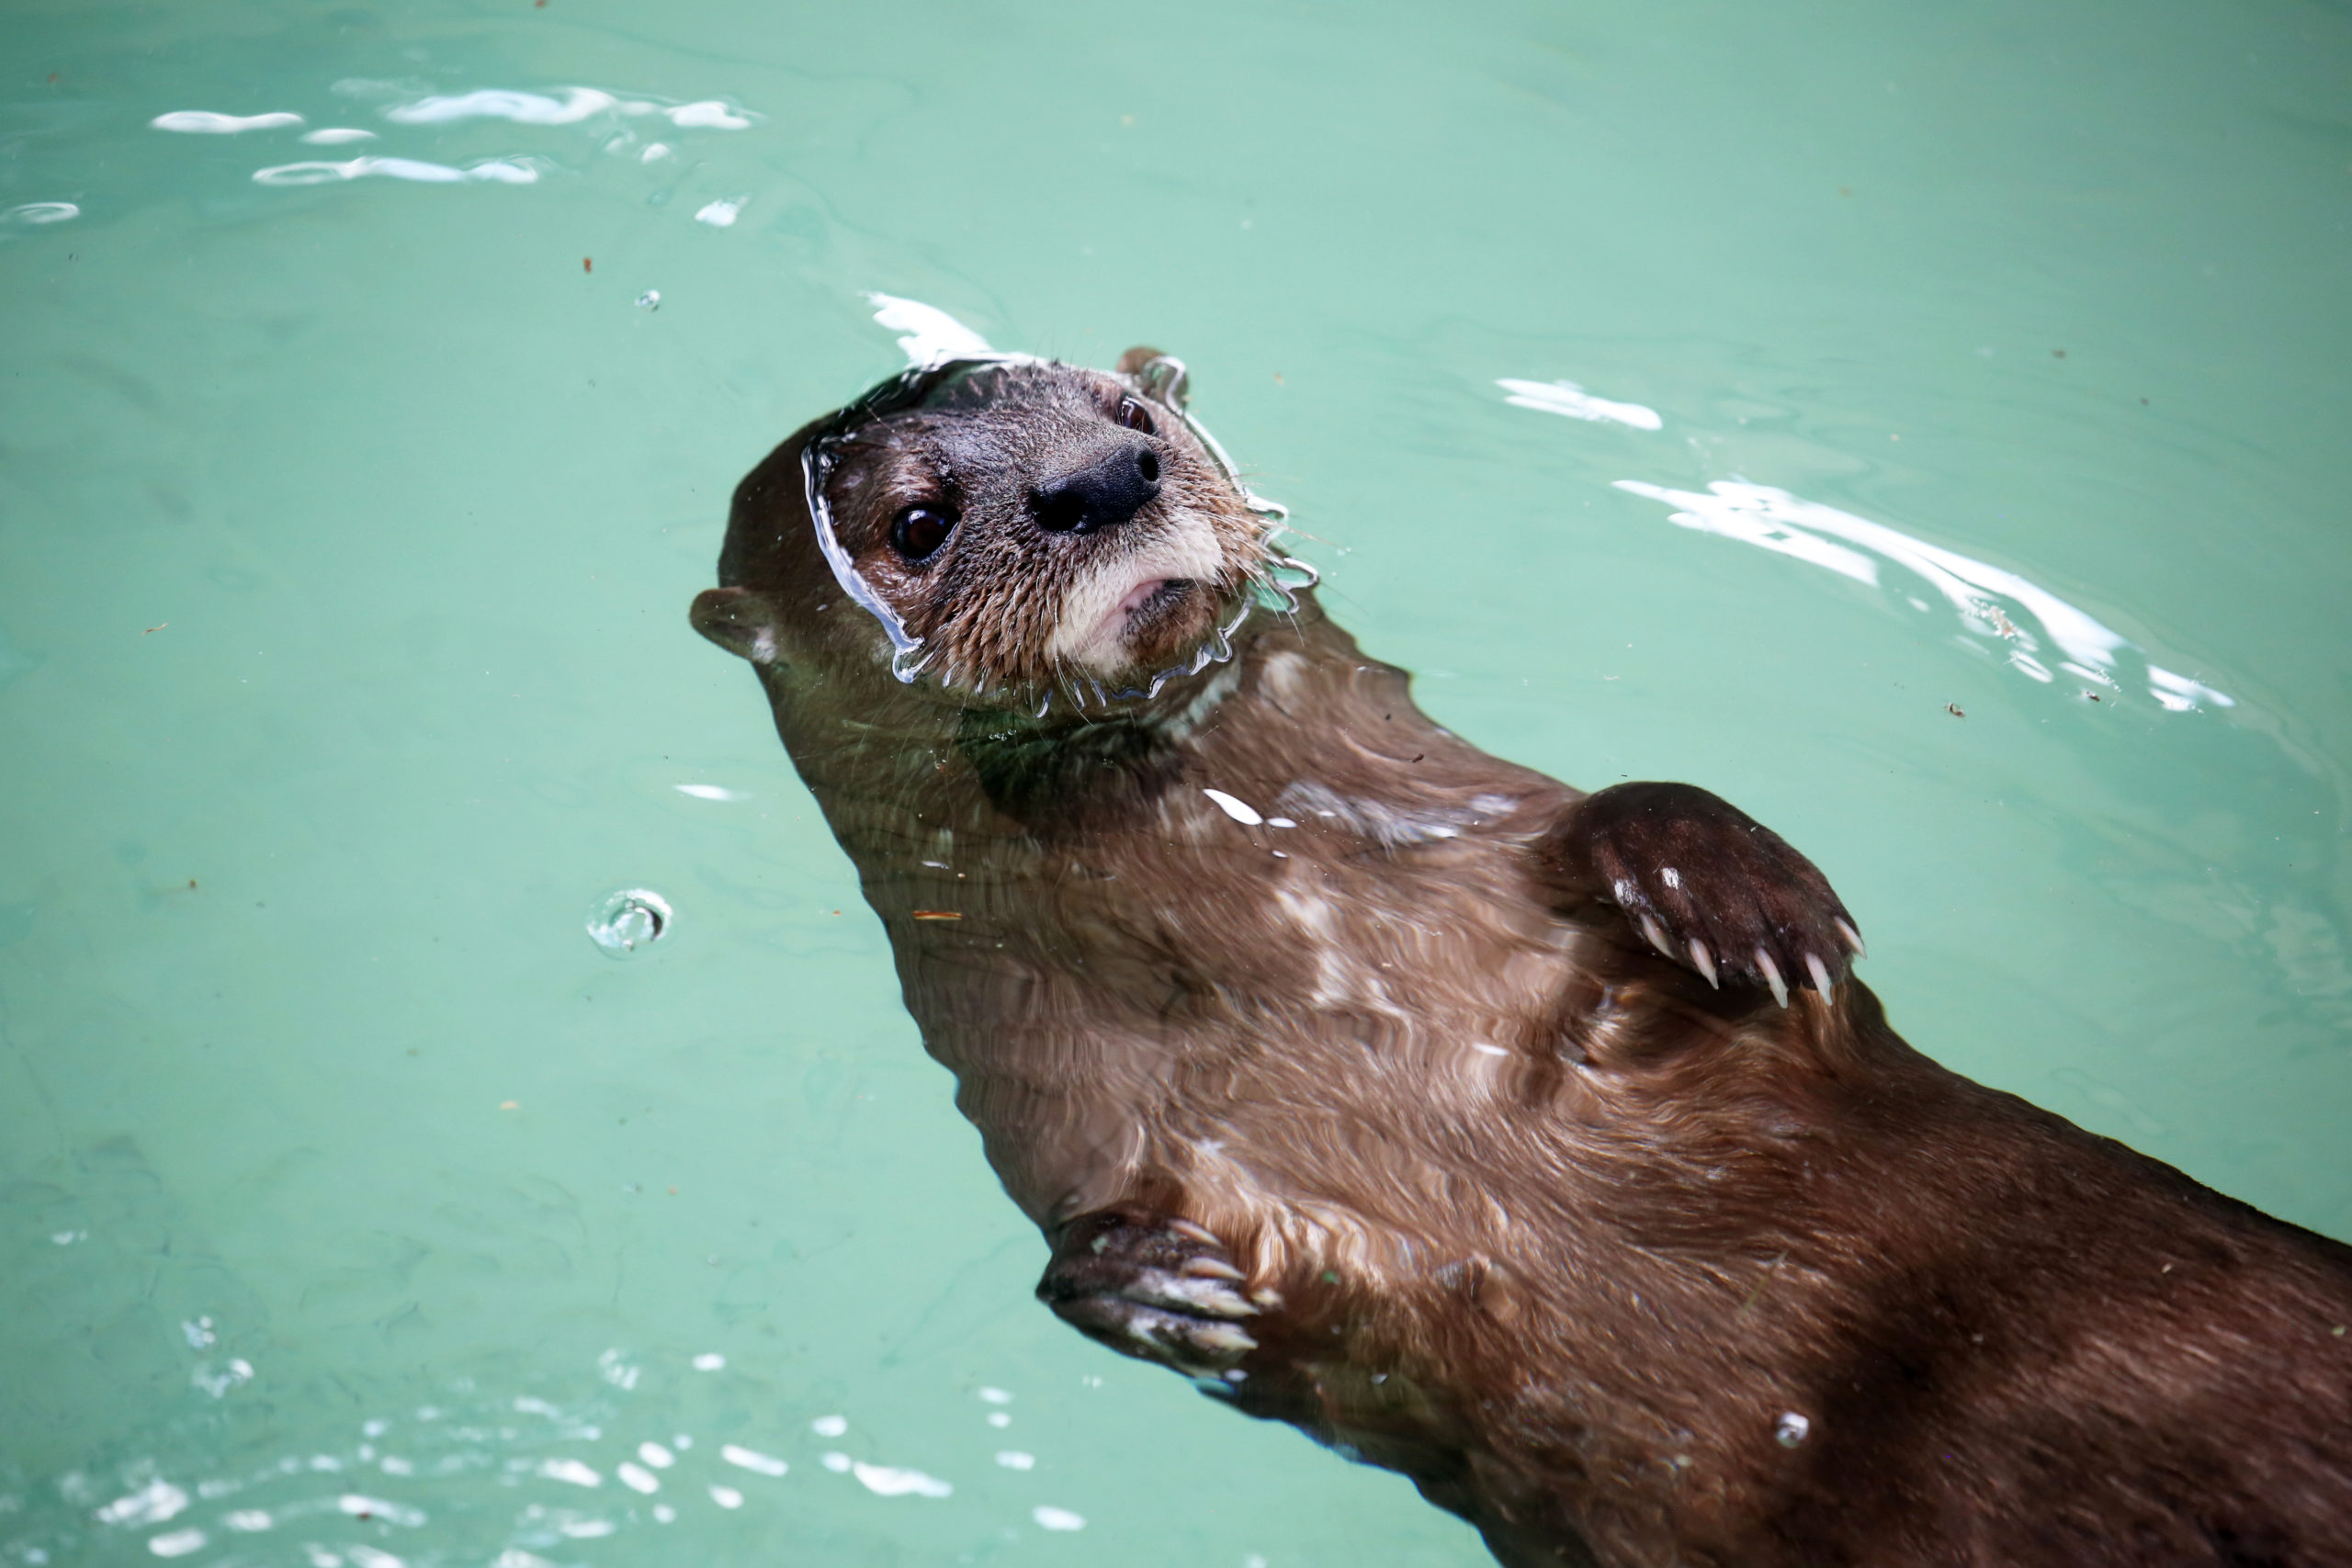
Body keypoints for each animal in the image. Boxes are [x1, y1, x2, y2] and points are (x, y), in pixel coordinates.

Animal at [691, 350, 2352, 1561]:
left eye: (1136, 414)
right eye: (915, 521)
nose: (1102, 479)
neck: (1329, 964)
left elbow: (1732, 924)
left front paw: (1729, 890)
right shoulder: (1083, 1122)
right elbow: (1269, 1325)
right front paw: (1159, 1288)